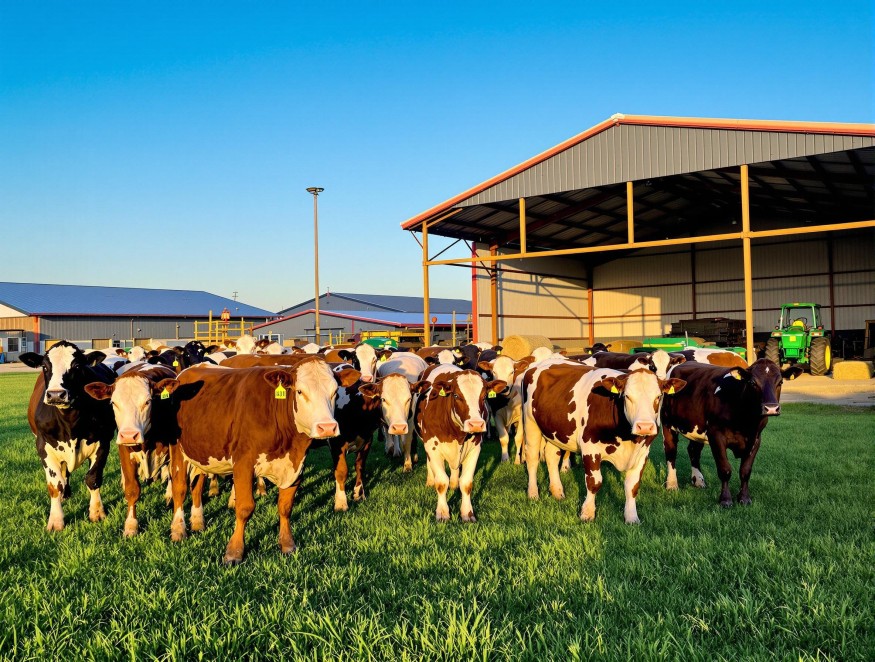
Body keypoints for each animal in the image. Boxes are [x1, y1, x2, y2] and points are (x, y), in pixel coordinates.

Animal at [20, 342, 117, 530]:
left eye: (77, 366)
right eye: (45, 366)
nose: (56, 394)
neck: (70, 422)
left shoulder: (103, 442)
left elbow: (93, 478)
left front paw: (97, 512)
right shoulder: (44, 447)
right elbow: (55, 484)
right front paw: (56, 520)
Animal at [167, 357, 360, 563]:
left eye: (335, 392)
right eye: (300, 391)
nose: (327, 427)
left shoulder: (296, 465)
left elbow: (285, 506)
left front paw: (287, 544)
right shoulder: (243, 464)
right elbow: (244, 507)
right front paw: (234, 551)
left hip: (201, 452)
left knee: (196, 485)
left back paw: (197, 522)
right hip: (177, 449)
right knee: (180, 488)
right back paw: (178, 530)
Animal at [414, 364, 506, 522]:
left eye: (484, 396)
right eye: (456, 396)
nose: (476, 424)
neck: (456, 433)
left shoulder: (475, 448)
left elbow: (466, 483)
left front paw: (467, 513)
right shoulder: (432, 447)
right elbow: (441, 482)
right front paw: (442, 512)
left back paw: (453, 483)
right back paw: (430, 480)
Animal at [522, 359, 686, 523]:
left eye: (658, 396)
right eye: (627, 396)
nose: (644, 426)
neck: (628, 438)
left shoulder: (642, 452)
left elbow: (633, 485)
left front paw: (632, 517)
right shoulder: (590, 447)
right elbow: (594, 482)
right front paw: (587, 513)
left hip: (554, 431)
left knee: (551, 457)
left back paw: (557, 492)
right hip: (530, 424)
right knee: (532, 458)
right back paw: (533, 493)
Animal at [661, 359, 802, 507]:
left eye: (780, 382)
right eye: (752, 382)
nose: (771, 408)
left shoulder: (756, 438)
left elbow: (745, 470)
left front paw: (744, 498)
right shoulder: (716, 436)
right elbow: (725, 469)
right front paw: (725, 499)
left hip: (696, 429)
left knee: (693, 450)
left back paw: (698, 480)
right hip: (667, 423)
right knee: (671, 451)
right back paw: (672, 484)